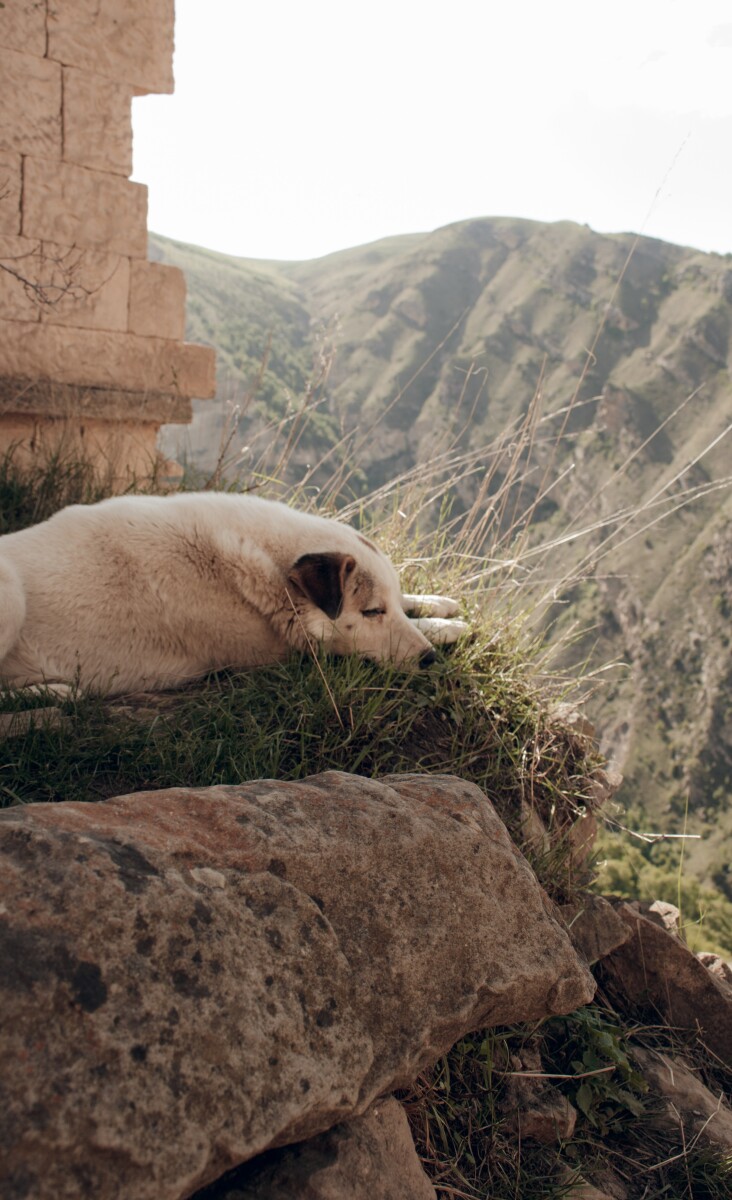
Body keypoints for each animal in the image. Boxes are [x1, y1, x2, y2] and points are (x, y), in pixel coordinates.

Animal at [0, 489, 465, 700]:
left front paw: (441, 608)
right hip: (11, 596)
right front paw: (441, 628)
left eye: (388, 606)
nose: (429, 660)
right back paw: (56, 692)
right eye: (371, 612)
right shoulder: (293, 653)